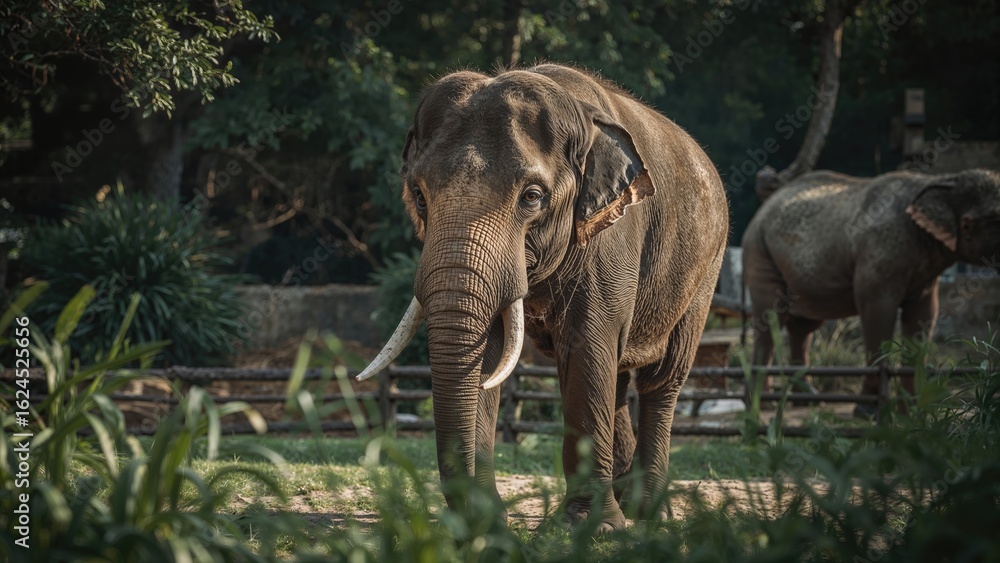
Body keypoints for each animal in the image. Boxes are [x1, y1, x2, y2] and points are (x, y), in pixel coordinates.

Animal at [357, 64, 728, 531]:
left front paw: (590, 528)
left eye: (532, 197)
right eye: (419, 196)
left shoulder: (611, 235)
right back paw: (628, 503)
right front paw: (488, 525)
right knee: (618, 376)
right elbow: (492, 352)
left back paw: (650, 516)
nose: (468, 520)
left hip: (705, 269)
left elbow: (587, 344)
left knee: (662, 379)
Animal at [741, 168, 1000, 414]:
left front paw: (912, 412)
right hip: (760, 252)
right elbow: (877, 310)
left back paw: (806, 400)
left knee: (803, 326)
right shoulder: (877, 254)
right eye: (991, 220)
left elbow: (924, 314)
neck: (941, 180)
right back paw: (763, 404)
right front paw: (869, 412)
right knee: (770, 317)